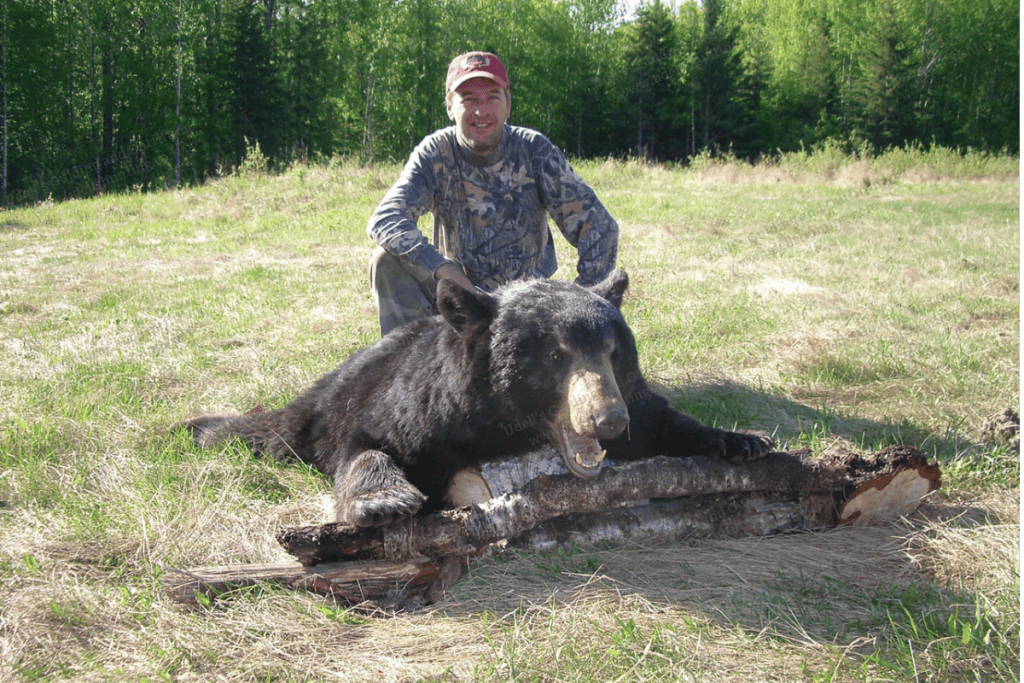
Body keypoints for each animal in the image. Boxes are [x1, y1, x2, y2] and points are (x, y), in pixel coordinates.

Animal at [183, 269, 773, 527]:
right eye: (555, 354)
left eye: (613, 351)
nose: (607, 420)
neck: (502, 425)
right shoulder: (420, 408)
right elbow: (367, 445)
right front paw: (384, 499)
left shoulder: (636, 402)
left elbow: (662, 419)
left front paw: (743, 439)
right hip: (330, 398)